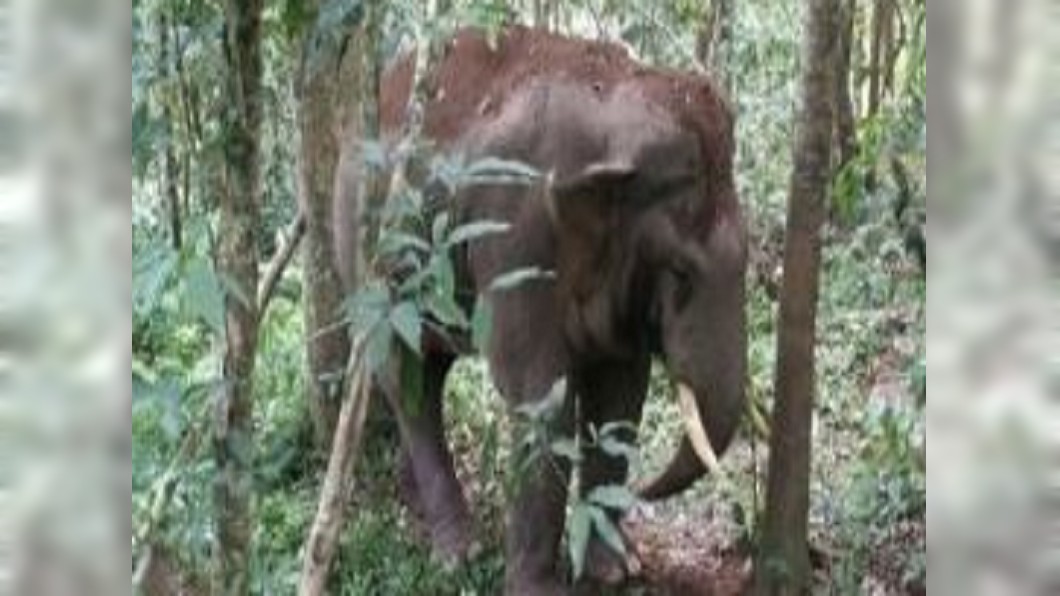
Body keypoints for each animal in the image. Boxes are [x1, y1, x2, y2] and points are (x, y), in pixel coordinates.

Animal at [333, 26, 748, 595]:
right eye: (681, 270)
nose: (646, 490)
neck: (613, 103)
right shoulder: (516, 236)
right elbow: (540, 396)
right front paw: (539, 587)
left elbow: (621, 392)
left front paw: (617, 570)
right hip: (368, 255)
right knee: (403, 371)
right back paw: (458, 552)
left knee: (429, 374)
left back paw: (417, 503)